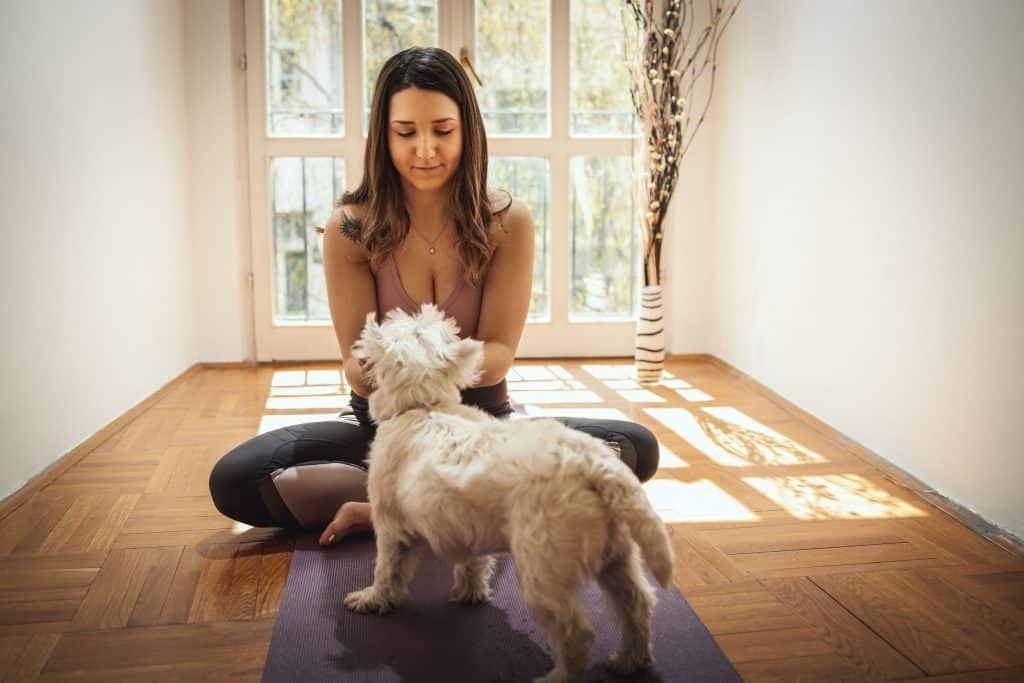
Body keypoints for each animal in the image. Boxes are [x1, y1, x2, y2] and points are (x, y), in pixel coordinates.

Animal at [344, 305, 675, 683]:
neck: (423, 405)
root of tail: (595, 465)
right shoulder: (463, 524)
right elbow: (472, 563)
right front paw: (471, 593)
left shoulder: (390, 527)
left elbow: (387, 571)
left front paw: (372, 600)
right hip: (617, 556)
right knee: (637, 603)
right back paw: (630, 661)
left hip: (543, 570)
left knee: (575, 631)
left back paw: (558, 677)